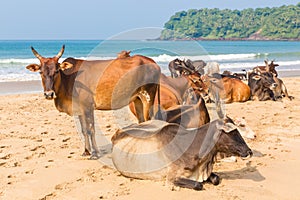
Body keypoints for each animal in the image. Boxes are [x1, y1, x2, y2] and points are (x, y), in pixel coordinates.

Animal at [25, 45, 162, 159]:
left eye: (57, 71)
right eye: (41, 72)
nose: (49, 94)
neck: (69, 79)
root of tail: (153, 62)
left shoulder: (88, 107)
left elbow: (91, 129)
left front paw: (95, 153)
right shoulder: (79, 110)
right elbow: (84, 130)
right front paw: (86, 151)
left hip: (148, 96)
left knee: (150, 120)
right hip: (137, 99)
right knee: (142, 121)